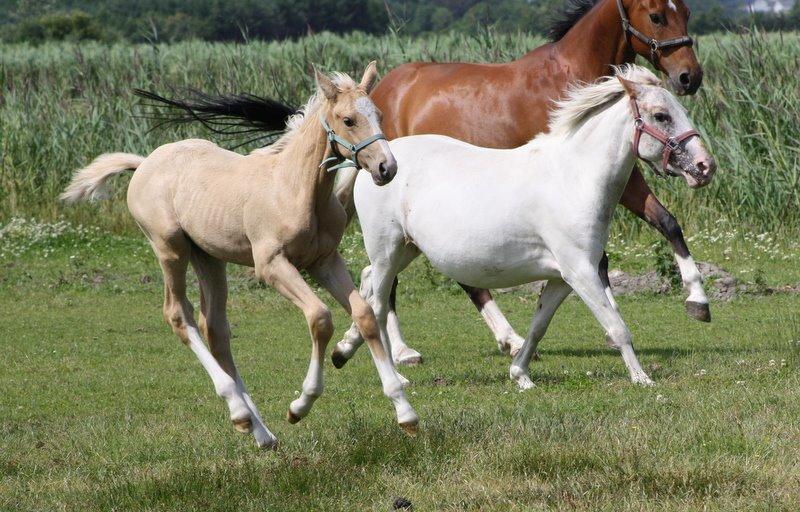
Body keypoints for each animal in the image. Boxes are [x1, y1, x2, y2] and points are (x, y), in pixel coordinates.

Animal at [61, 63, 418, 448]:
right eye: (348, 119)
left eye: (379, 114)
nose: (386, 167)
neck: (295, 188)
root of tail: (144, 163)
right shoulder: (272, 265)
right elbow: (320, 318)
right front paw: (300, 405)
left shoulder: (324, 261)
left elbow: (364, 315)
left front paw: (405, 412)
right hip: (170, 247)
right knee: (179, 315)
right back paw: (238, 410)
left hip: (208, 257)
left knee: (215, 328)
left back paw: (259, 430)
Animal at [328, 67, 716, 388]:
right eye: (661, 115)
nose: (705, 166)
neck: (572, 178)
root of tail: (376, 163)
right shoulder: (581, 272)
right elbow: (617, 327)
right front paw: (642, 379)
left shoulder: (562, 278)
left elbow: (538, 326)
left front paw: (520, 374)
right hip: (388, 249)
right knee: (378, 302)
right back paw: (392, 370)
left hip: (405, 249)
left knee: (368, 285)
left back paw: (344, 350)